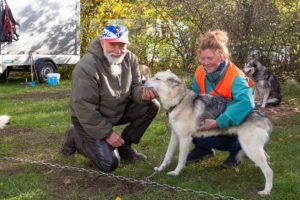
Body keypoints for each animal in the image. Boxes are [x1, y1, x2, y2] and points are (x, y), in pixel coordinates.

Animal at [144, 70, 274, 195]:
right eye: (154, 76)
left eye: (157, 79)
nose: (143, 81)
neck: (178, 101)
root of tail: (264, 116)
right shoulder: (175, 136)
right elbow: (167, 155)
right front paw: (160, 169)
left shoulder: (185, 139)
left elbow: (181, 159)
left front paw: (176, 173)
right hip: (253, 148)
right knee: (266, 159)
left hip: (249, 147)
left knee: (269, 171)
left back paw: (266, 191)